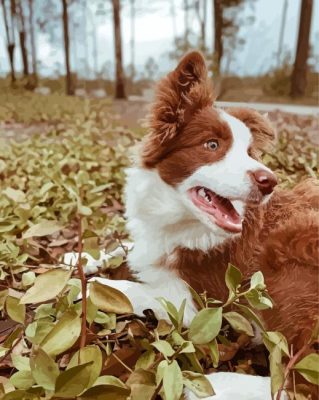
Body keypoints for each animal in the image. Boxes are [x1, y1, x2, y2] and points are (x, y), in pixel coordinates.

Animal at [66, 51, 318, 398]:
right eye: (212, 145)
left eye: (248, 153)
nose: (269, 181)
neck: (181, 219)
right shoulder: (151, 240)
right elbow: (122, 245)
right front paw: (76, 258)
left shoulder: (196, 304)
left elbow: (124, 287)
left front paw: (82, 284)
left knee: (298, 383)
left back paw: (212, 383)